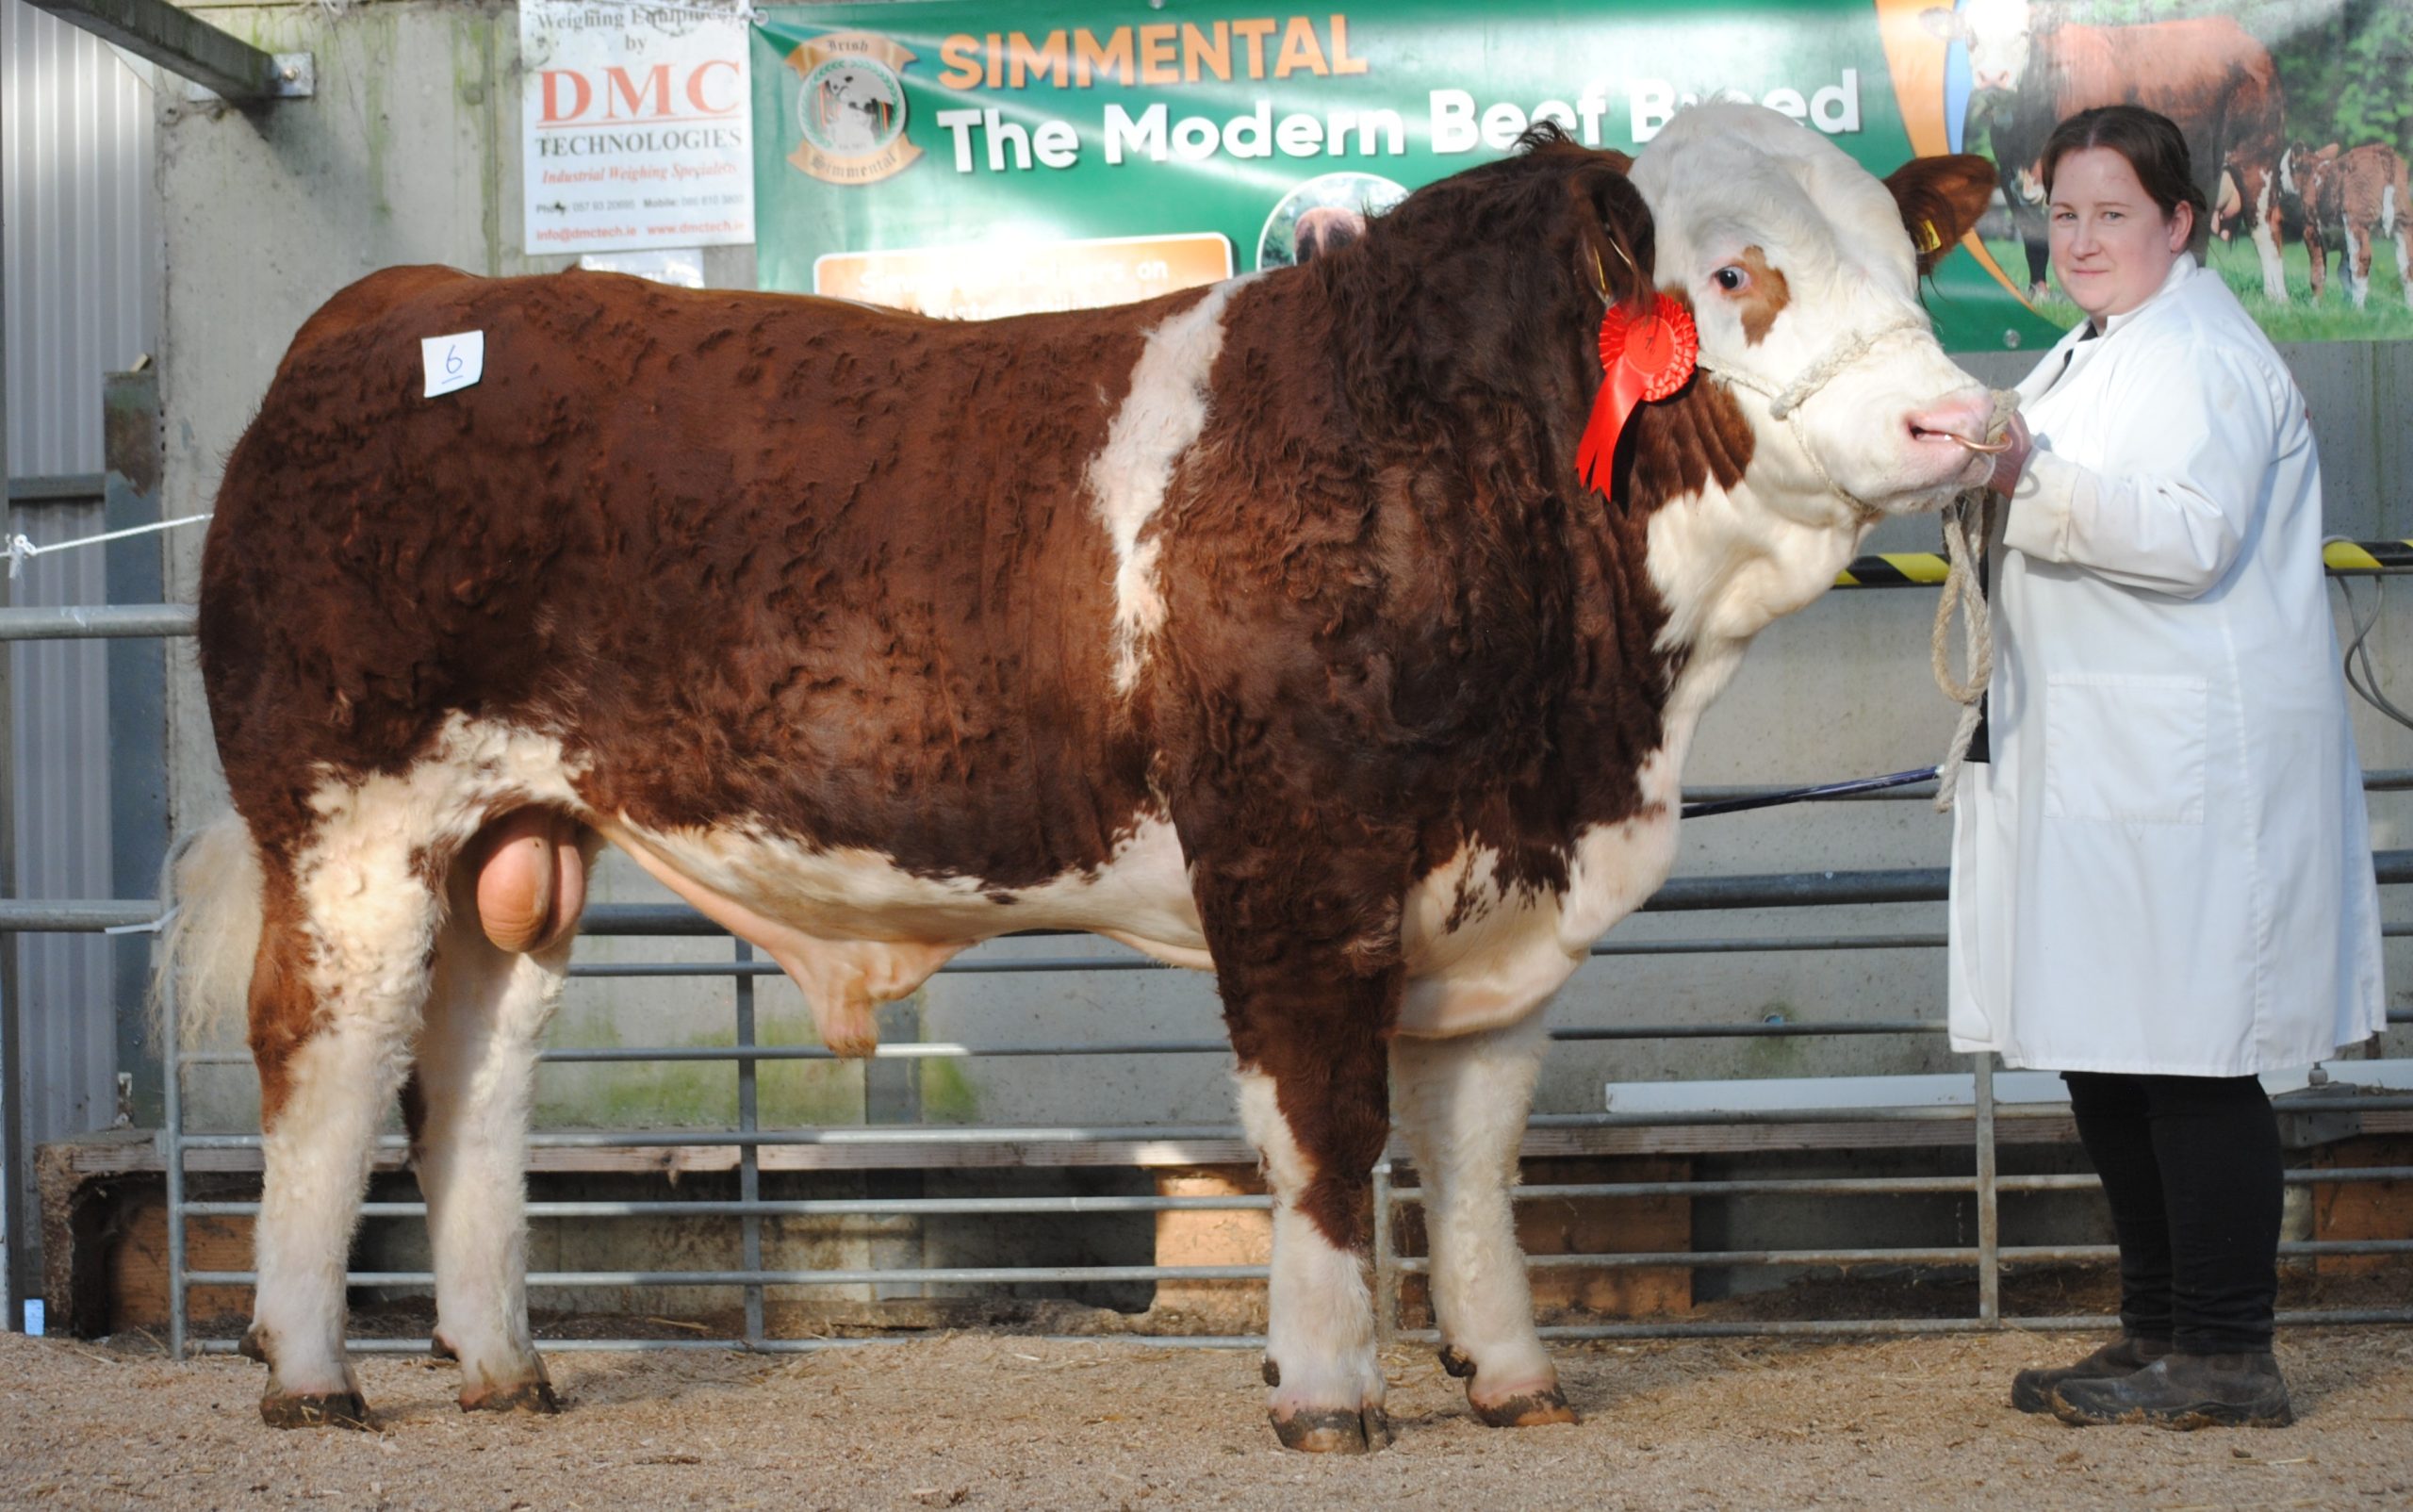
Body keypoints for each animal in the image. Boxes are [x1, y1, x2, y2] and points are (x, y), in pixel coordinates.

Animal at [162, 104, 1997, 1452]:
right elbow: (1327, 1136)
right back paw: (308, 1371)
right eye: (1738, 272)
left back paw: (500, 1366)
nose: (1961, 423)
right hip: (347, 805)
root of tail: (399, 300)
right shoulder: (1295, 861)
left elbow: (1474, 1156)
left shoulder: (1508, 877)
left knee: (470, 1079)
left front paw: (1512, 1377)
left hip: (519, 835)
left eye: (1908, 260)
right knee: (326, 1055)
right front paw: (1329, 1395)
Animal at [1926, 0, 2287, 303]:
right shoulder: (2009, 176)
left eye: (2024, 34)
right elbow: (2034, 243)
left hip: (2257, 153)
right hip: (2204, 168)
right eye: (1970, 36)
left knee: (2264, 225)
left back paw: (2276, 297)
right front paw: (2038, 297)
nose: (1992, 78)